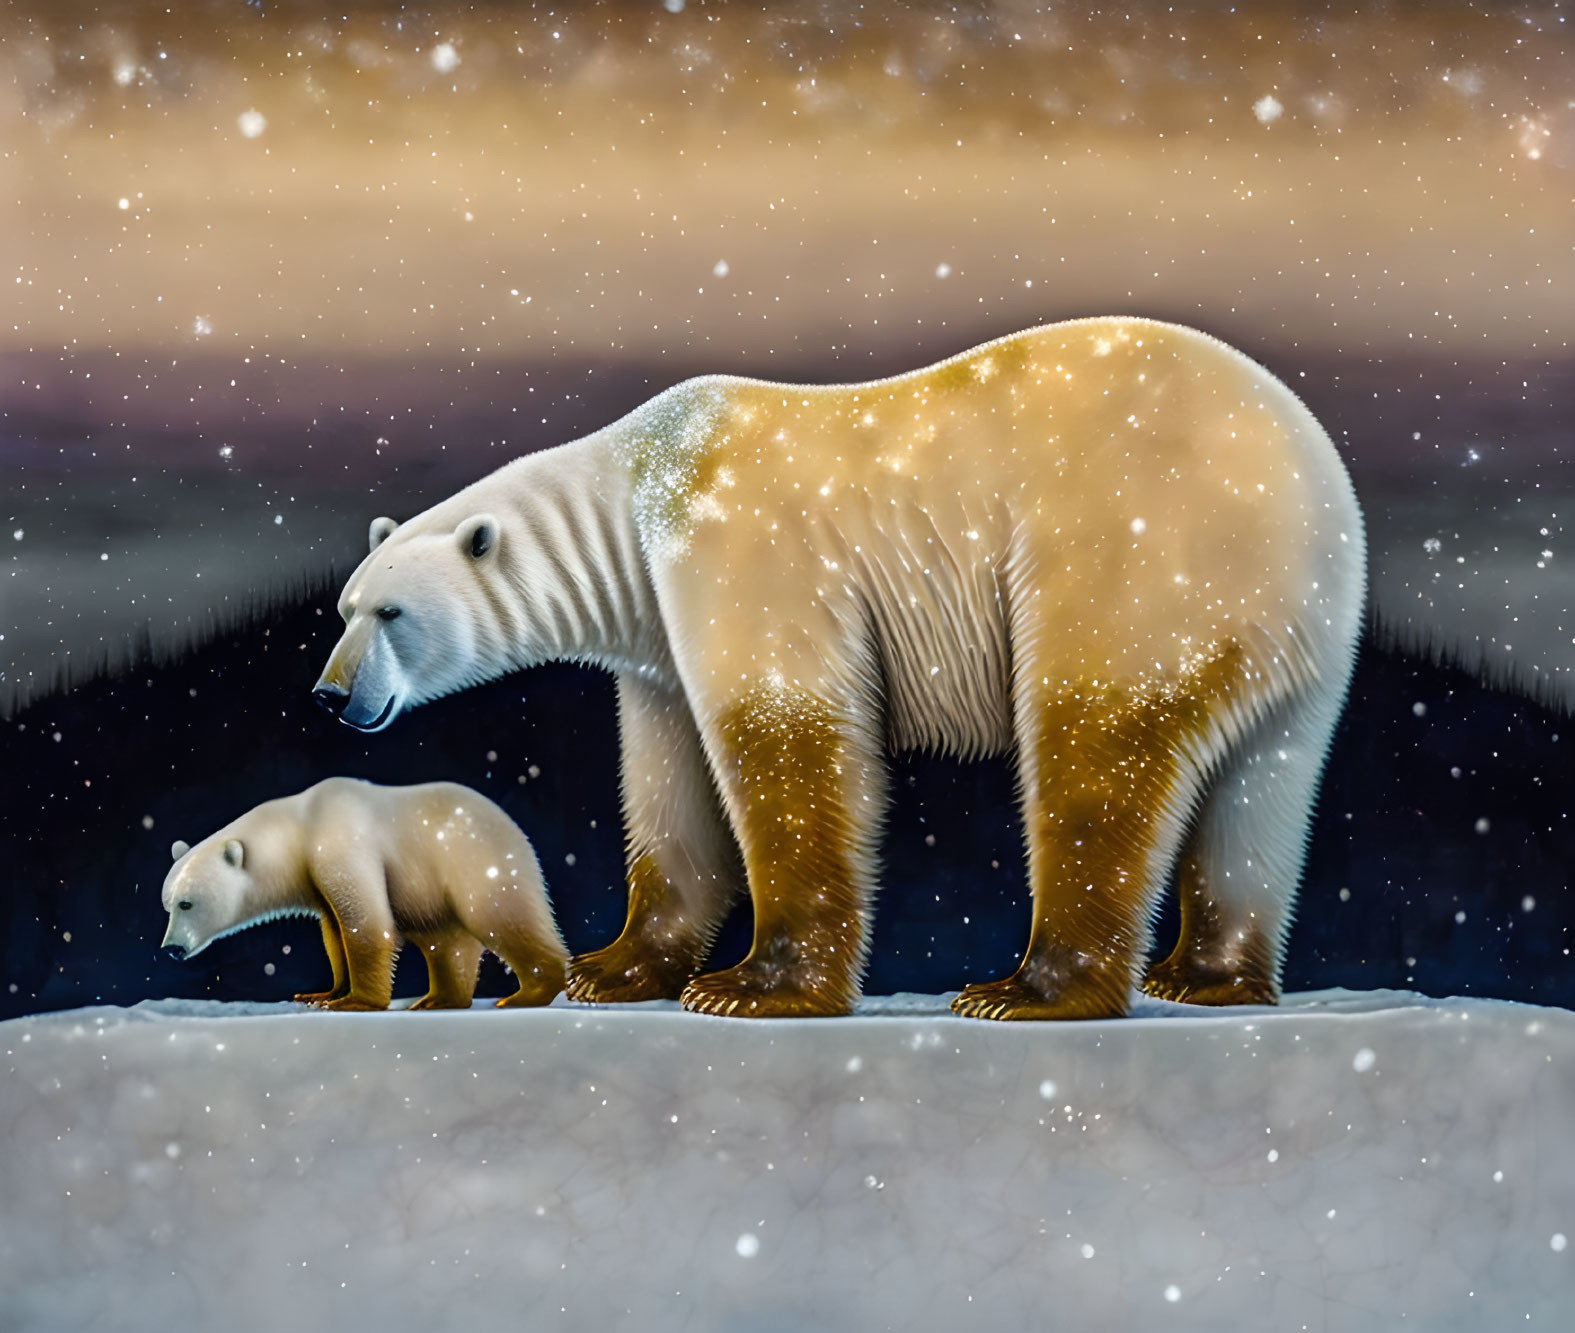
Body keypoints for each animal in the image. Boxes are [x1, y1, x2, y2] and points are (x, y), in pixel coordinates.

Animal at [158, 778, 567, 1008]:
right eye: (167, 905)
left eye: (187, 903)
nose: (171, 950)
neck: (301, 827)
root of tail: (516, 830)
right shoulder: (315, 879)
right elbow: (334, 933)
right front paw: (323, 994)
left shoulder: (342, 842)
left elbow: (365, 922)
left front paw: (356, 1002)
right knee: (445, 940)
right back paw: (439, 999)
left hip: (473, 860)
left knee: (502, 915)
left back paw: (530, 991)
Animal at [313, 315, 1360, 1021]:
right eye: (343, 608)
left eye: (390, 613)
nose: (328, 692)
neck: (636, 489)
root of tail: (1310, 475)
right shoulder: (652, 638)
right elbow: (668, 782)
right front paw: (607, 969)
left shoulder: (735, 543)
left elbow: (788, 737)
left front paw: (747, 987)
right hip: (1293, 629)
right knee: (1263, 783)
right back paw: (1205, 975)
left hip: (1141, 560)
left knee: (1093, 746)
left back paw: (1023, 988)